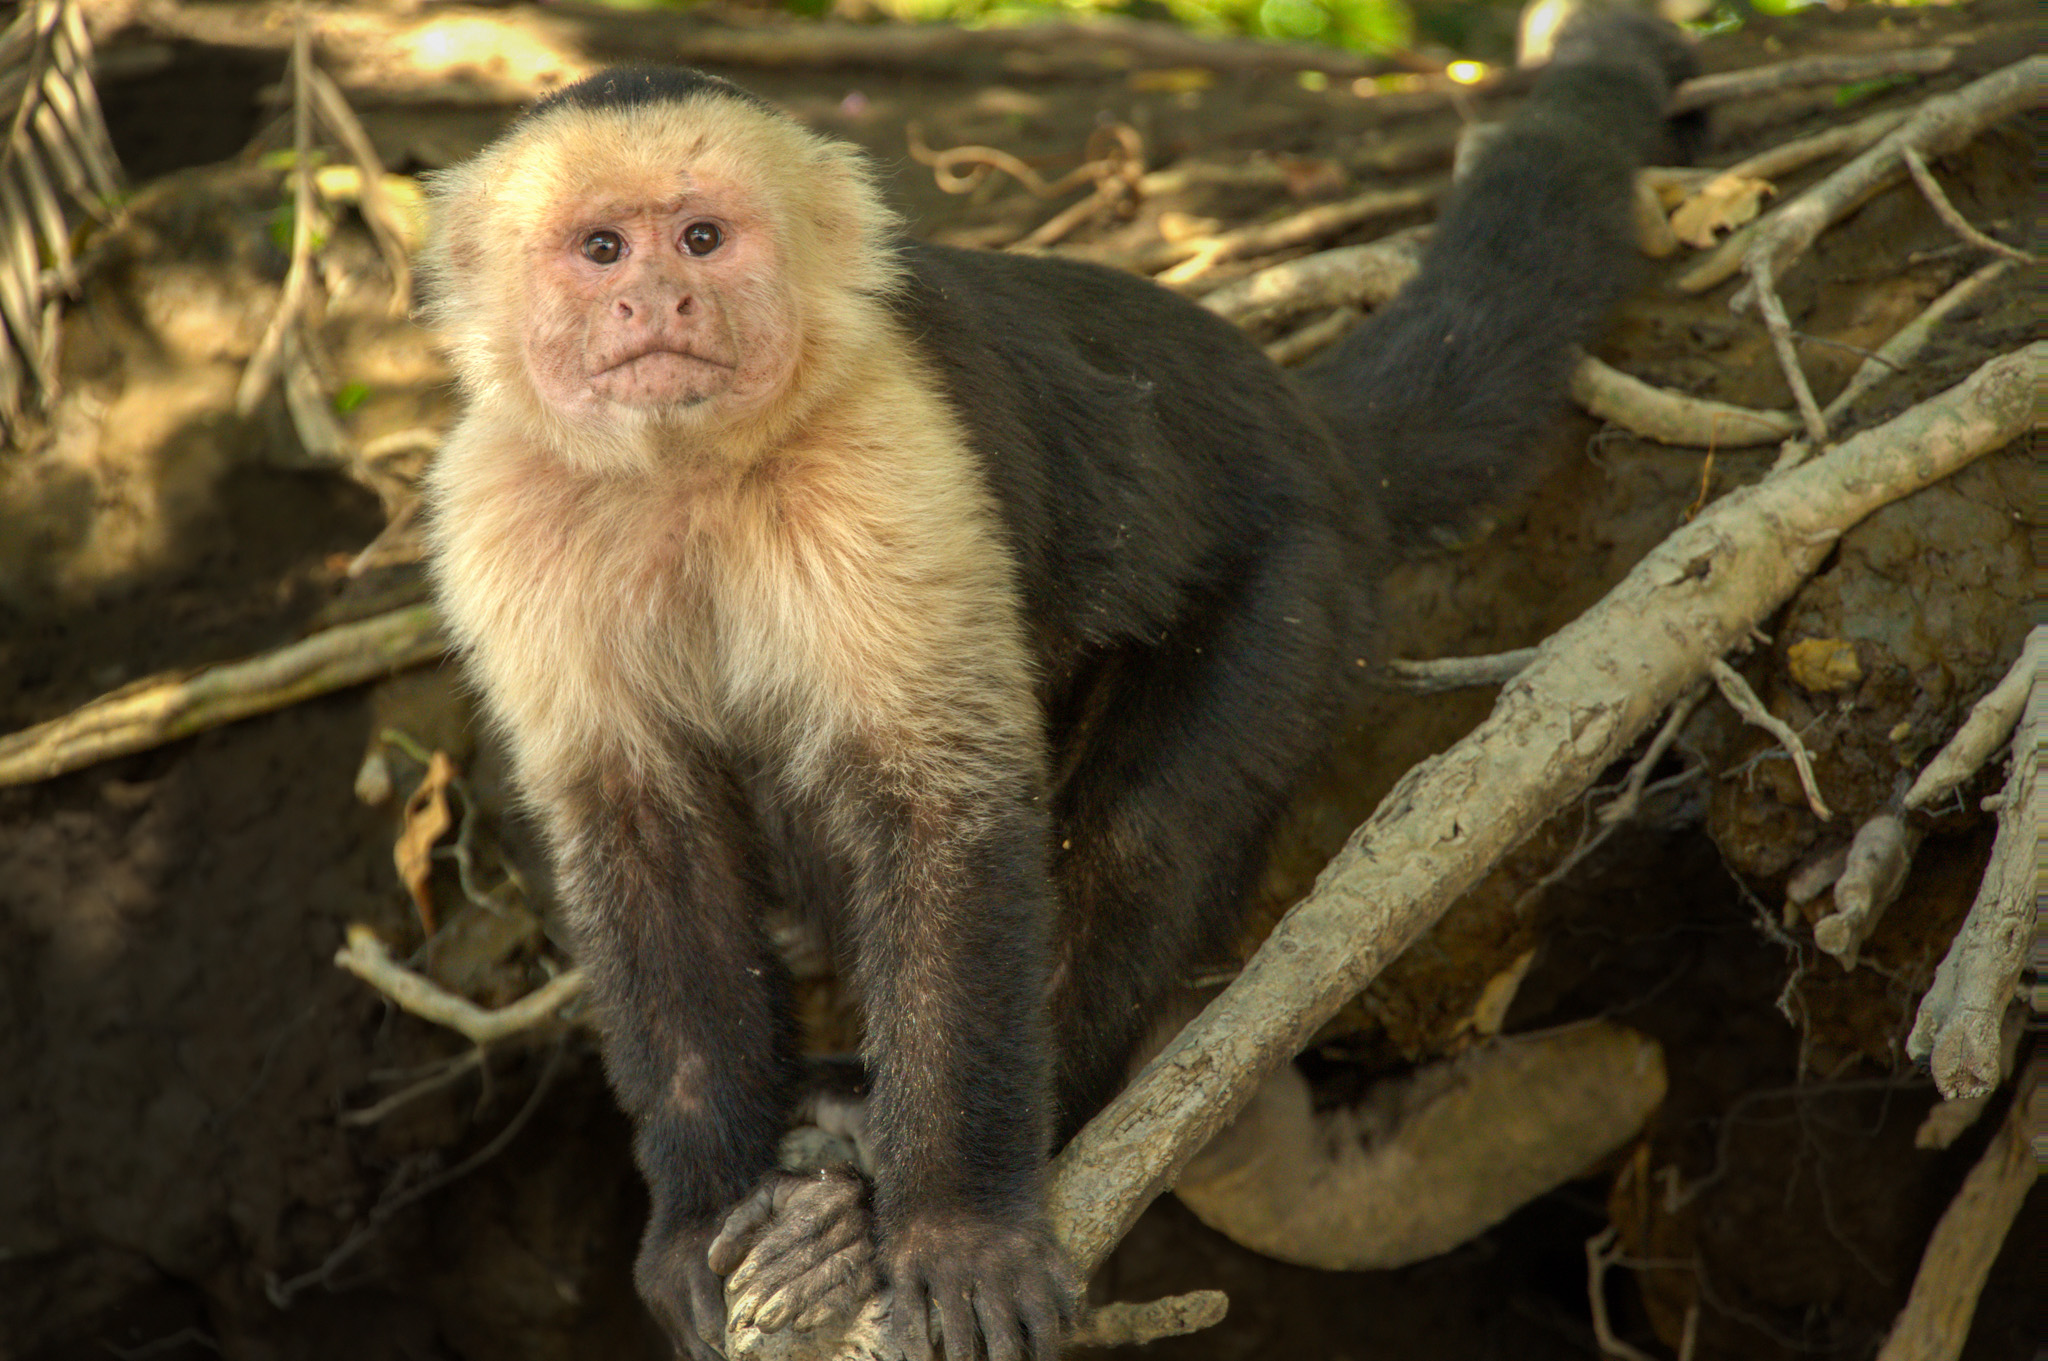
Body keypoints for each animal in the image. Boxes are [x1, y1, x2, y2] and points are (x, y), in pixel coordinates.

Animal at [419, 16, 1695, 1360]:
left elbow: (950, 809)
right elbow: (641, 837)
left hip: (1300, 577)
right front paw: (702, 1209)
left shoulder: (884, 449)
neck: (687, 469)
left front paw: (953, 1224)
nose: (657, 297)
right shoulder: (495, 507)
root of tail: (1297, 410)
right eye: (601, 247)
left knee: (1135, 834)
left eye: (704, 238)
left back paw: (942, 1151)